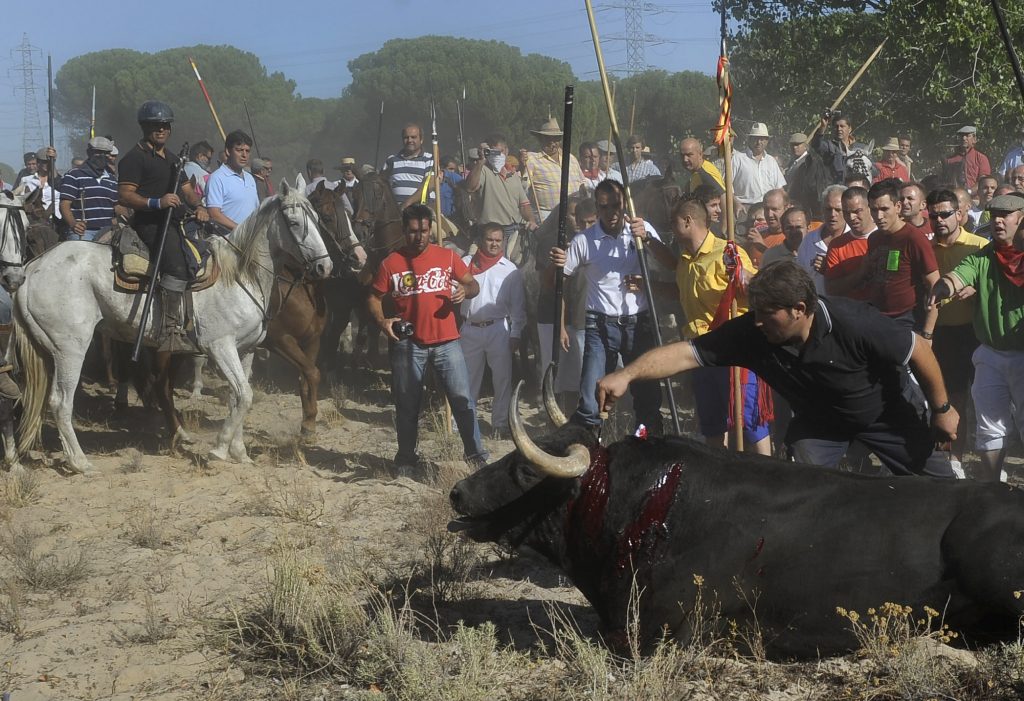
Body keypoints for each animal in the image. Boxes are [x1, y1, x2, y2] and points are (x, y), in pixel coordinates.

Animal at [14, 183, 331, 472]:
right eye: (293, 222)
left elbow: (238, 398)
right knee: (61, 401)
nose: (324, 268)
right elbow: (244, 395)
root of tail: (31, 268)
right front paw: (219, 450)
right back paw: (80, 462)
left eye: (317, 218)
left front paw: (239, 452)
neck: (238, 275)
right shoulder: (220, 346)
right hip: (70, 348)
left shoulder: (246, 349)